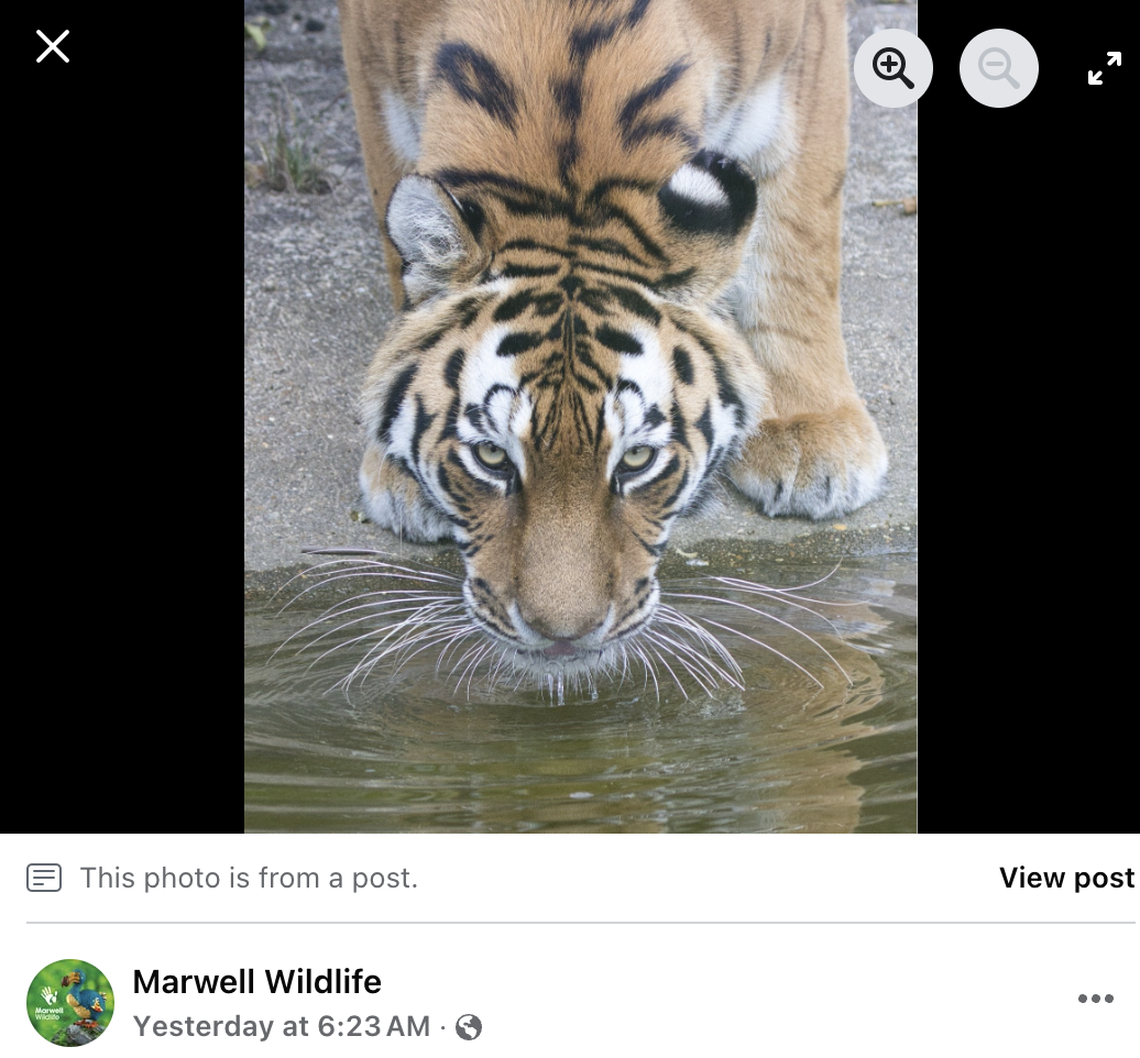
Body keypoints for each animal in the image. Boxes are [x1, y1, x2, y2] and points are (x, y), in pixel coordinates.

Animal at [338, 0, 888, 681]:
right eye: (491, 458)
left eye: (636, 460)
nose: (563, 636)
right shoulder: (372, 67)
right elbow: (397, 238)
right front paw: (399, 472)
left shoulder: (808, 49)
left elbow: (800, 241)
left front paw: (813, 436)